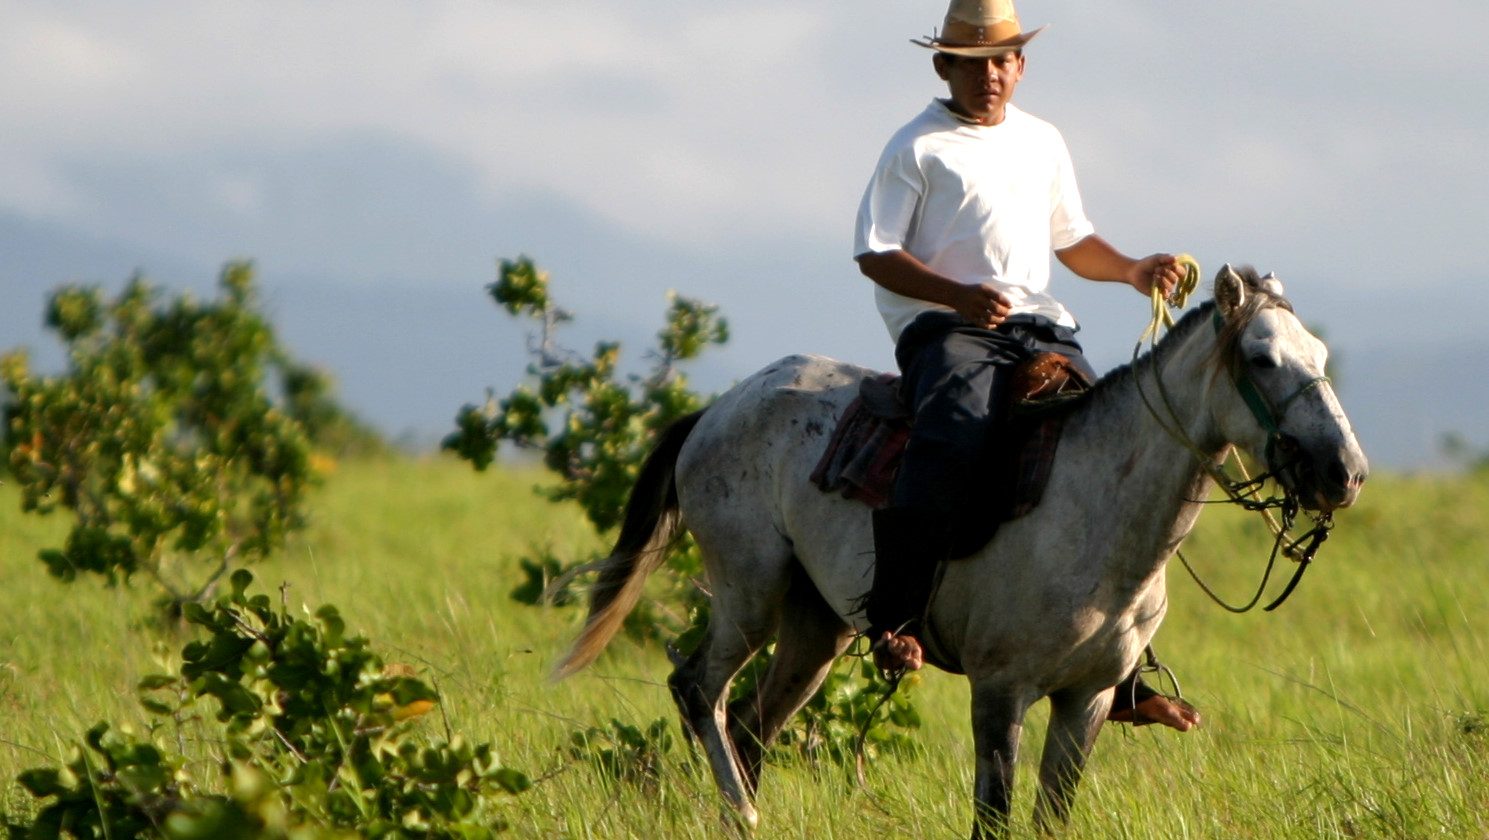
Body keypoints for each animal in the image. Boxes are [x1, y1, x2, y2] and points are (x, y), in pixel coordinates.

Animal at [553, 268, 1363, 834]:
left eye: (1320, 354)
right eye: (1260, 358)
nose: (1344, 471)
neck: (1100, 509)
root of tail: (717, 409)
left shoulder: (1088, 698)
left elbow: (1050, 820)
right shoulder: (999, 690)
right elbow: (992, 819)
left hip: (817, 624)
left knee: (753, 725)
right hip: (747, 591)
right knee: (699, 690)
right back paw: (744, 814)